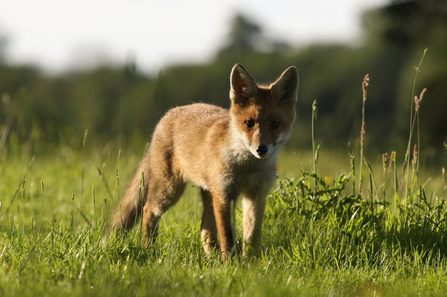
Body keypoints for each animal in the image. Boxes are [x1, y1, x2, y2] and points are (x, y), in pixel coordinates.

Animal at [107, 64, 300, 260]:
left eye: (275, 124)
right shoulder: (224, 195)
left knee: (205, 230)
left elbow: (251, 237)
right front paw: (232, 264)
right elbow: (228, 238)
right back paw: (150, 250)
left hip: (207, 193)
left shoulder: (256, 194)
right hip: (170, 189)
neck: (248, 168)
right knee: (148, 211)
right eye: (249, 123)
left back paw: (211, 260)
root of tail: (168, 114)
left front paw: (251, 264)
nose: (261, 149)